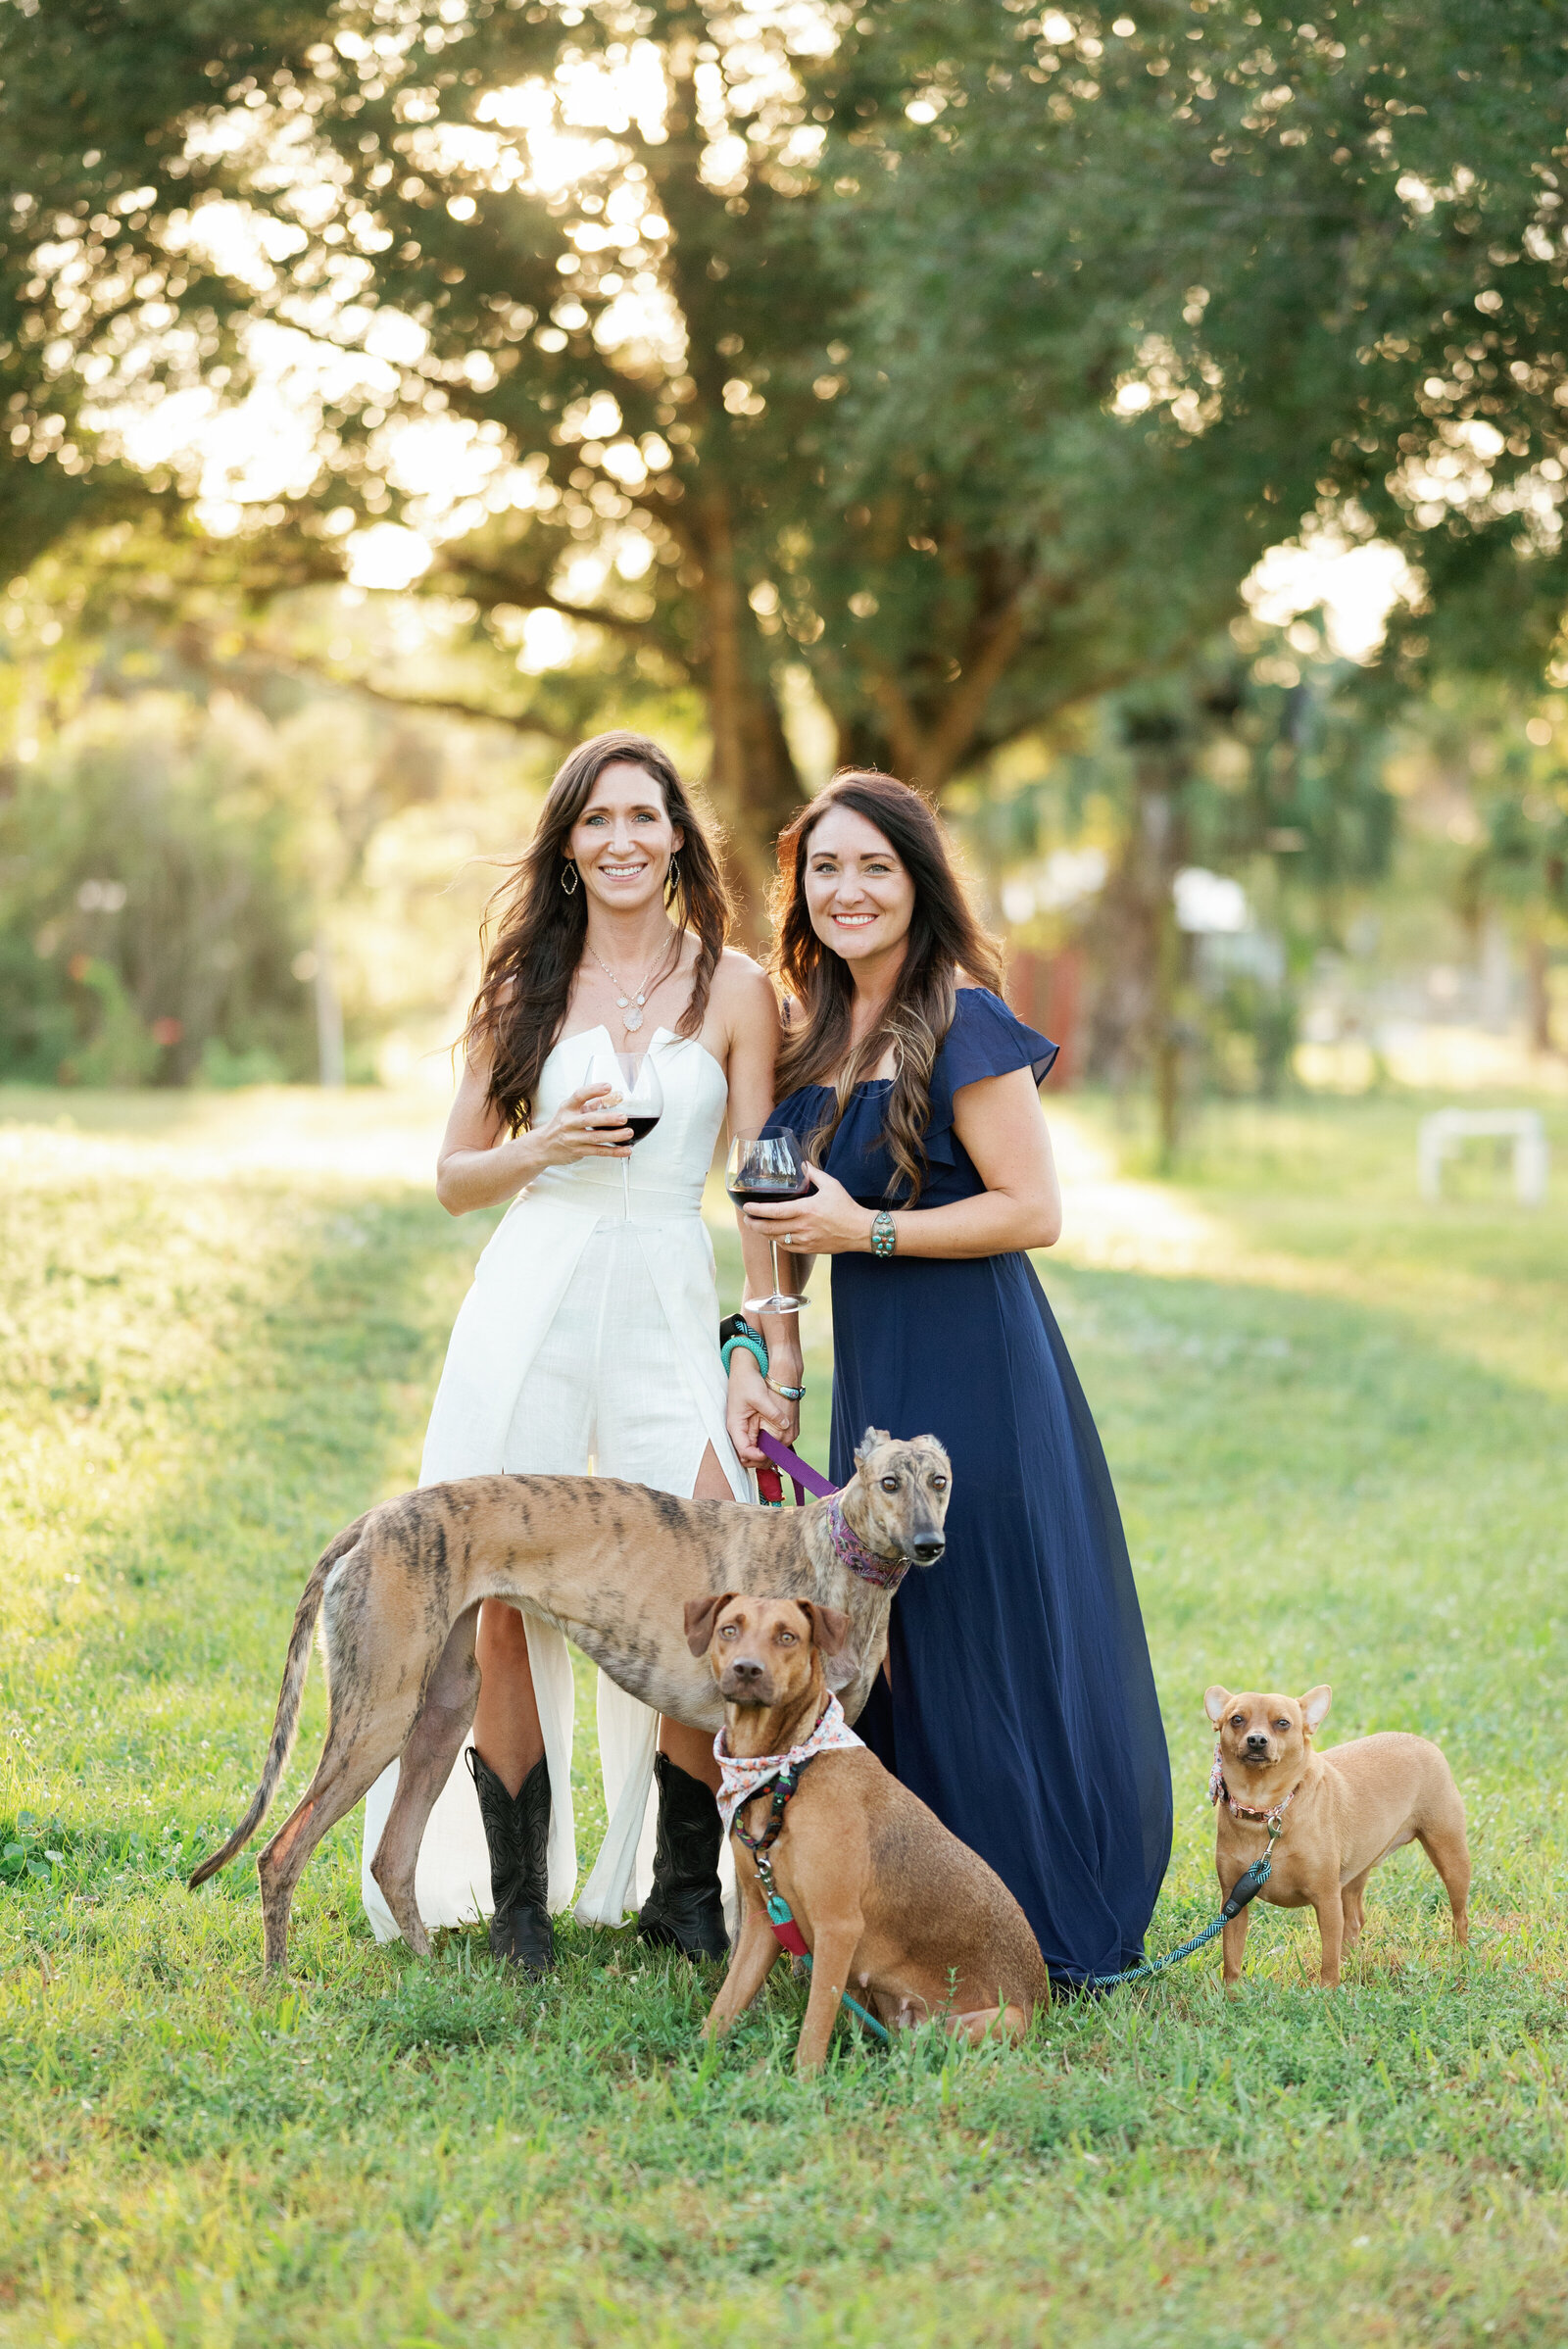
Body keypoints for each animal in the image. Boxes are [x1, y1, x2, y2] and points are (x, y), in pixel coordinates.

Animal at [690, 1596, 1047, 2076]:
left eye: (788, 1637)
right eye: (729, 1629)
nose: (747, 1669)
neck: (785, 1770)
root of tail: (1043, 2003)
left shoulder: (837, 1929)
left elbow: (814, 2024)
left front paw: (802, 2082)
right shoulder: (765, 1922)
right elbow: (724, 2006)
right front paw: (694, 2062)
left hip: (985, 2023)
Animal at [1201, 1682, 1474, 1991]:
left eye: (1283, 1723)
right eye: (1237, 1719)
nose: (1257, 1740)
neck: (1266, 1810)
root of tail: (1422, 1742)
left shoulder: (1327, 1899)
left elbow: (1328, 1955)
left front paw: (1328, 1991)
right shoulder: (1233, 1903)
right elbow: (1232, 1956)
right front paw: (1231, 1994)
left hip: (1450, 1858)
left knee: (1460, 1915)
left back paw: (1461, 1955)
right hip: (1354, 1876)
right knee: (1354, 1921)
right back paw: (1351, 1961)